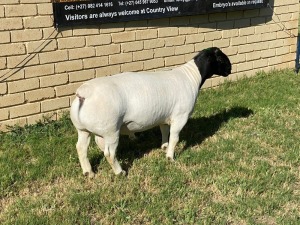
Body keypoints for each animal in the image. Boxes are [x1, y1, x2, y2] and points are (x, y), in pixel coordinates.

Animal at [71, 47, 232, 178]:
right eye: (220, 59)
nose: (230, 69)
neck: (191, 76)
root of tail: (84, 93)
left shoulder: (164, 117)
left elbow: (164, 131)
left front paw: (164, 147)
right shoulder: (180, 116)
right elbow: (175, 138)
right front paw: (170, 157)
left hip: (84, 129)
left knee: (81, 148)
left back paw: (89, 172)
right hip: (111, 129)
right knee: (109, 153)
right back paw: (120, 172)